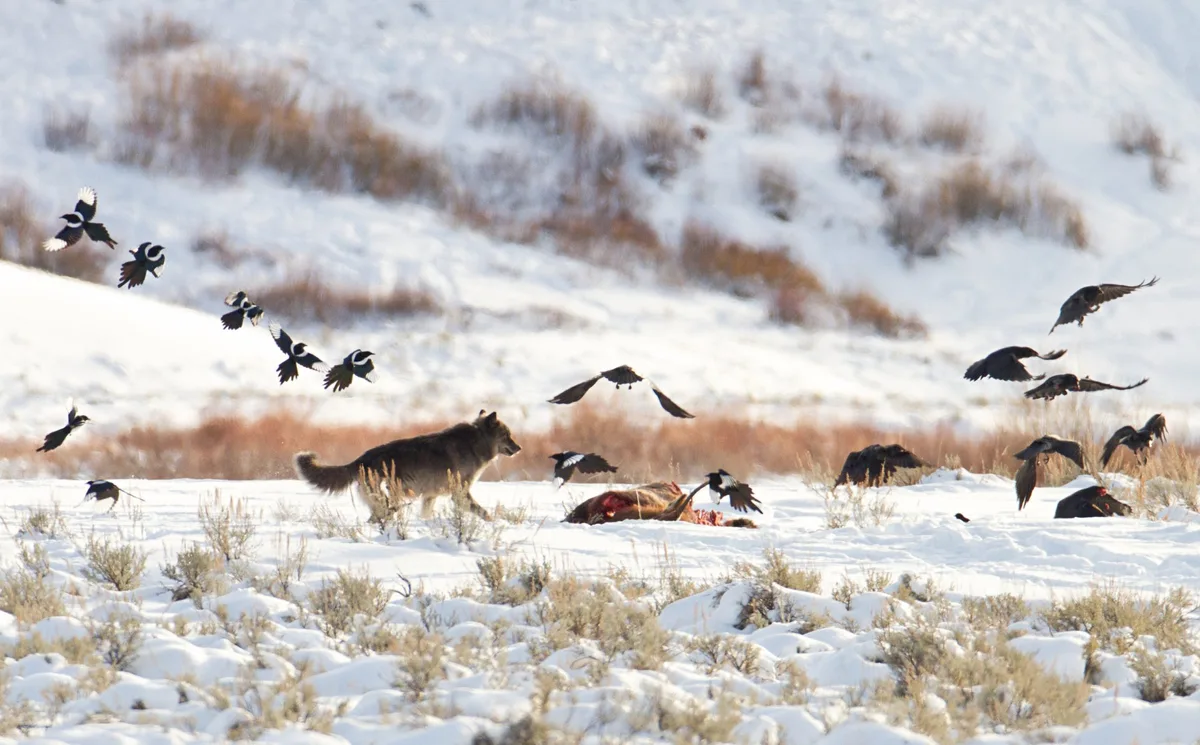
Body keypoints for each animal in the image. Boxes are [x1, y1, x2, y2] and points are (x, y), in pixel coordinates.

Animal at [293, 410, 521, 521]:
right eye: (508, 435)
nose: (519, 448)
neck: (476, 442)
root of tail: (360, 459)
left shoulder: (430, 496)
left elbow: (427, 516)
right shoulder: (459, 494)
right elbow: (485, 514)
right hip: (389, 502)